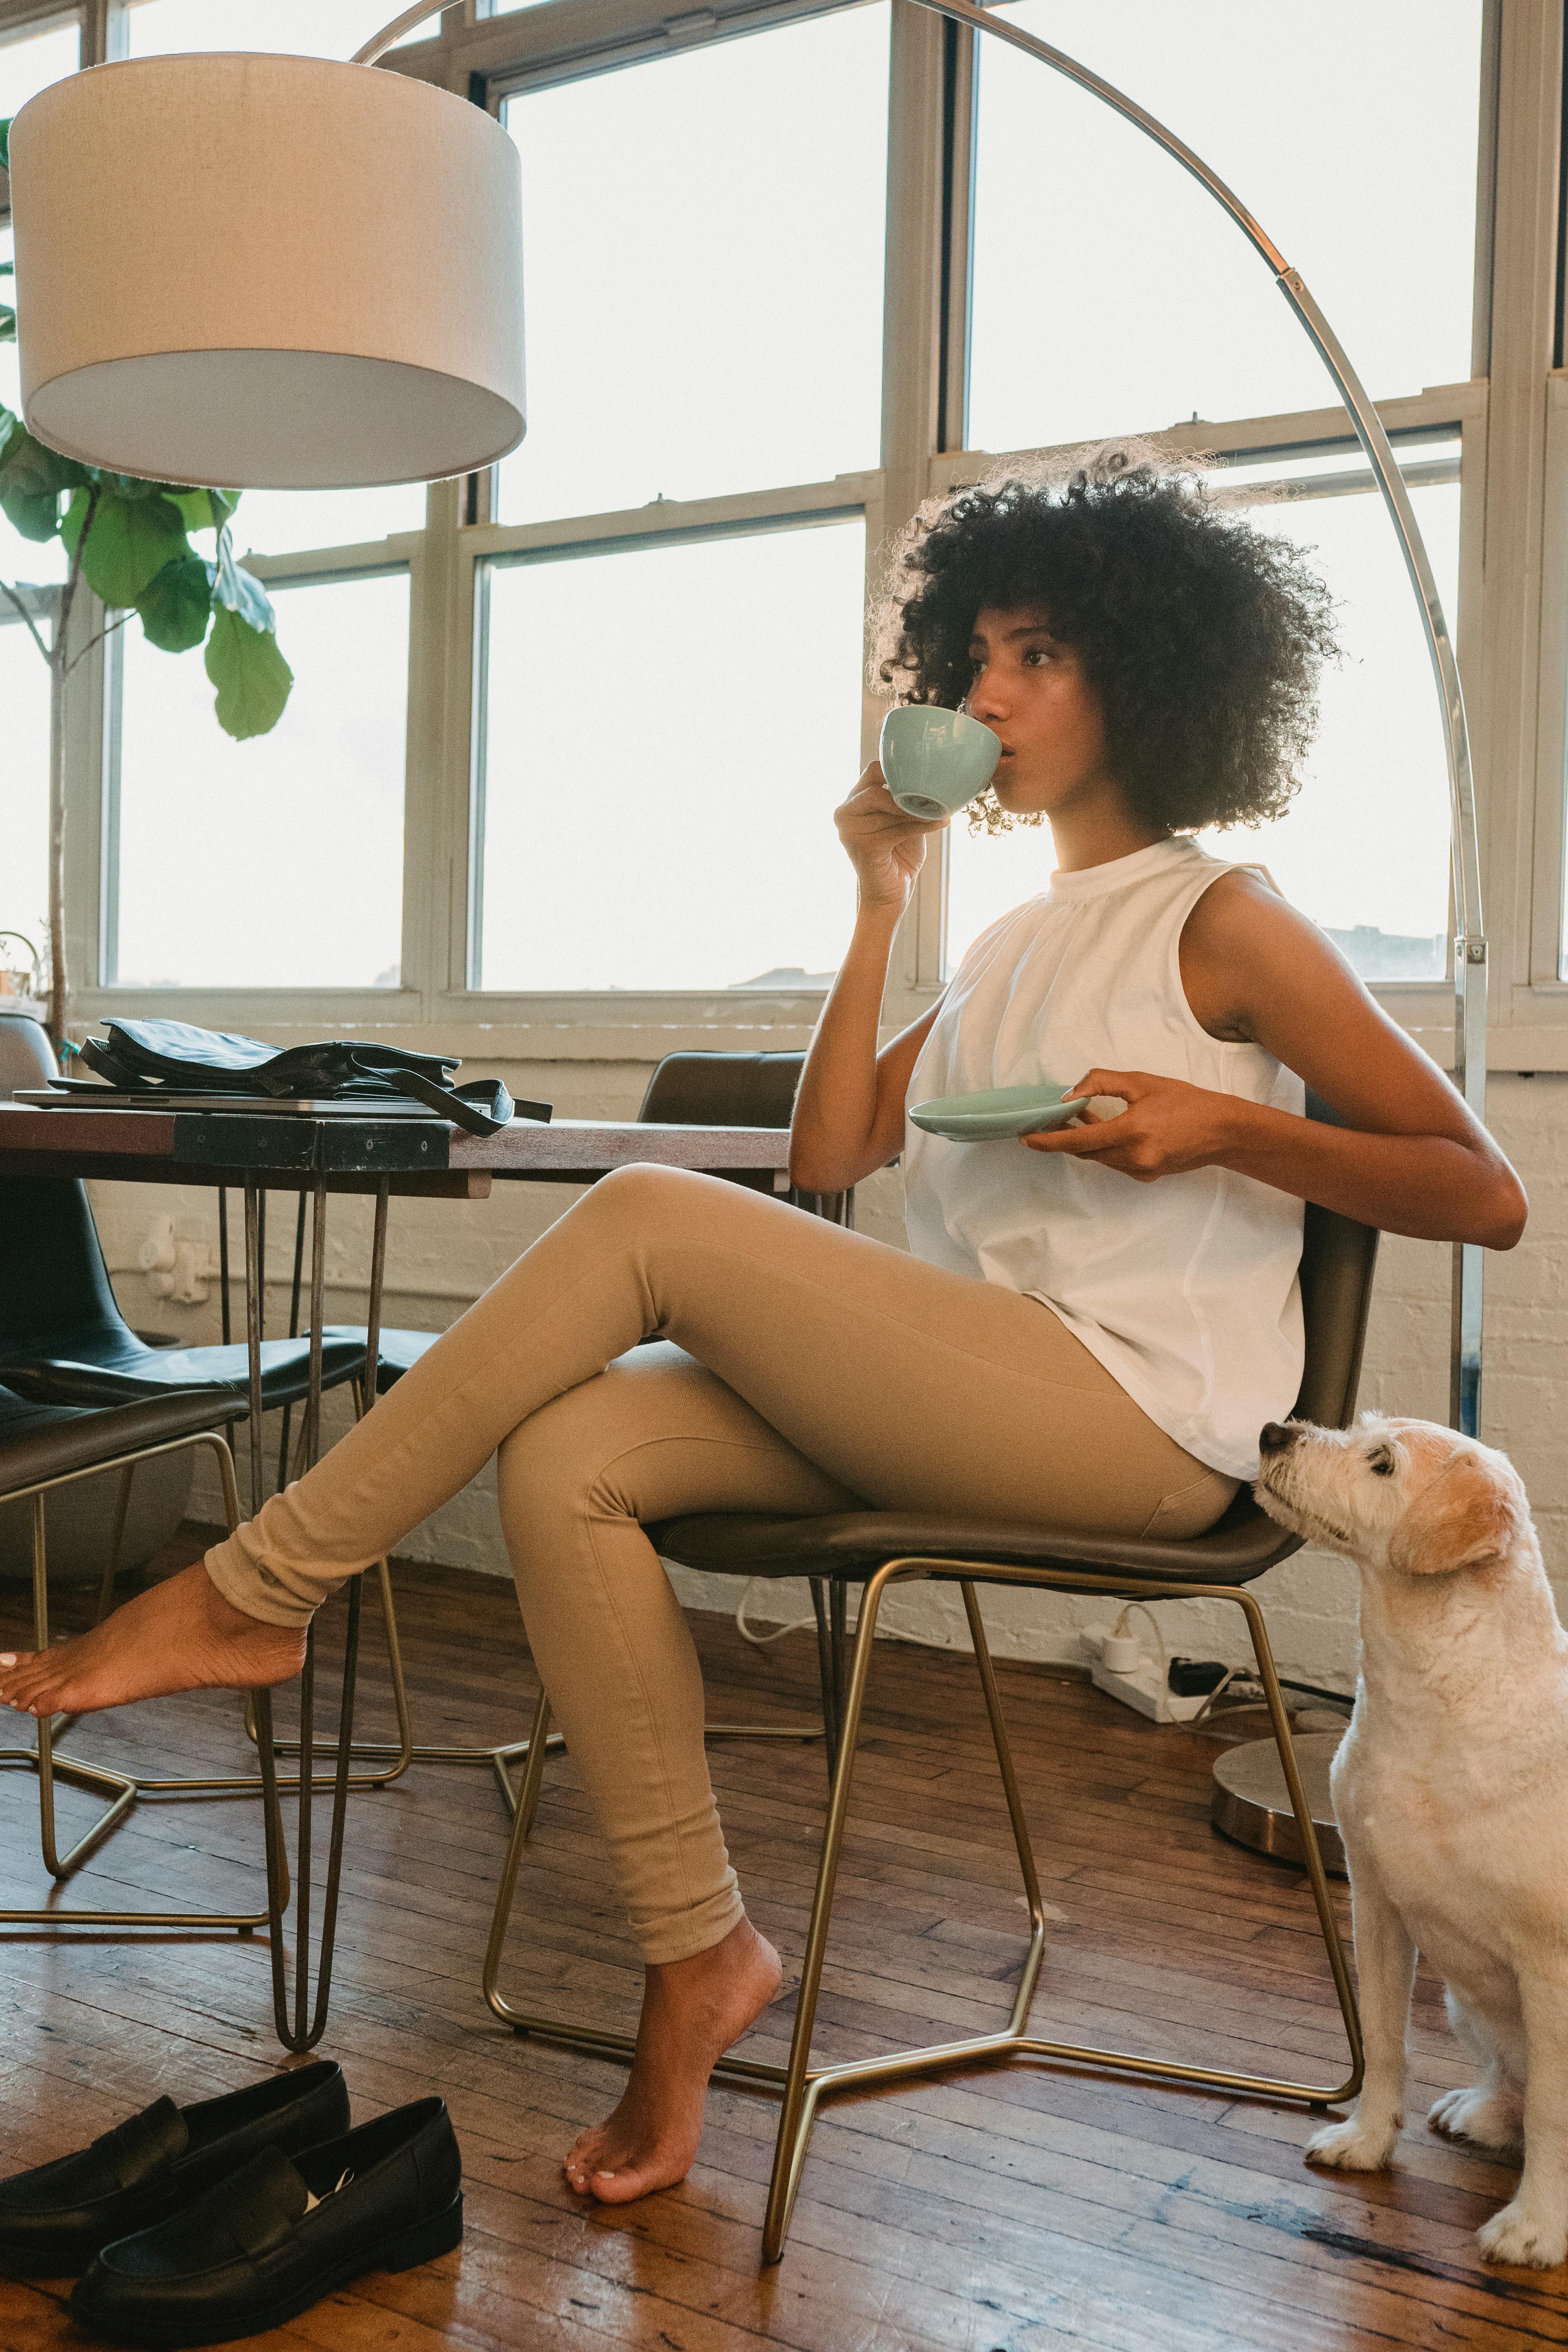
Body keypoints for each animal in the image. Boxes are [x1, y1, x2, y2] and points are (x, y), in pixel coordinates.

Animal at [1260, 1402, 1568, 2267]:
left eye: (1381, 1463)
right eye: (1360, 1428)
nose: (1271, 1431)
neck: (1438, 1703)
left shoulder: (1550, 1963)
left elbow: (1554, 2111)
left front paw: (1535, 2226)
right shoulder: (1375, 1905)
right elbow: (1382, 2037)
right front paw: (1365, 2140)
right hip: (1462, 2001)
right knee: (1508, 2081)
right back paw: (1480, 2109)